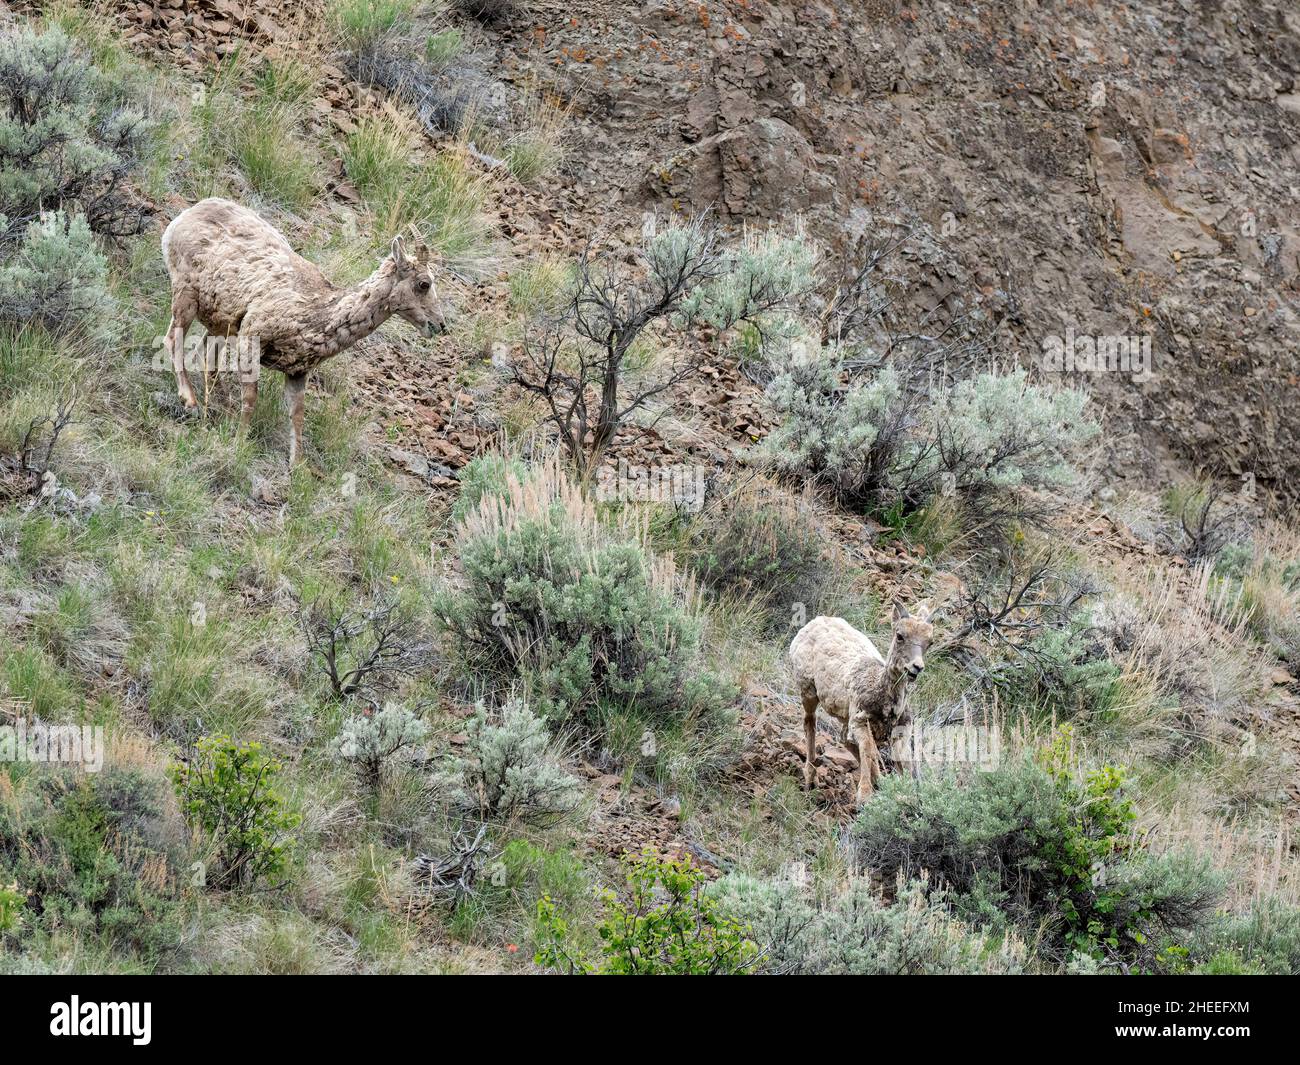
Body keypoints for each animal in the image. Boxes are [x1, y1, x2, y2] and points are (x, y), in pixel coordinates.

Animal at [159, 197, 447, 465]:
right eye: (424, 283)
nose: (440, 325)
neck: (315, 315)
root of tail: (188, 214)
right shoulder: (251, 339)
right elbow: (251, 397)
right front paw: (240, 442)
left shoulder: (297, 371)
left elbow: (297, 415)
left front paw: (297, 466)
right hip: (185, 294)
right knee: (173, 339)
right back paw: (190, 401)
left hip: (220, 321)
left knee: (204, 355)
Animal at [785, 603, 930, 806]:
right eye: (900, 635)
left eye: (929, 642)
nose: (916, 668)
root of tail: (815, 622)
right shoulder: (860, 722)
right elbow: (868, 750)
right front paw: (864, 797)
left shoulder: (901, 729)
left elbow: (903, 760)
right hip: (808, 692)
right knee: (810, 724)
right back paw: (810, 780)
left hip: (845, 716)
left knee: (843, 738)